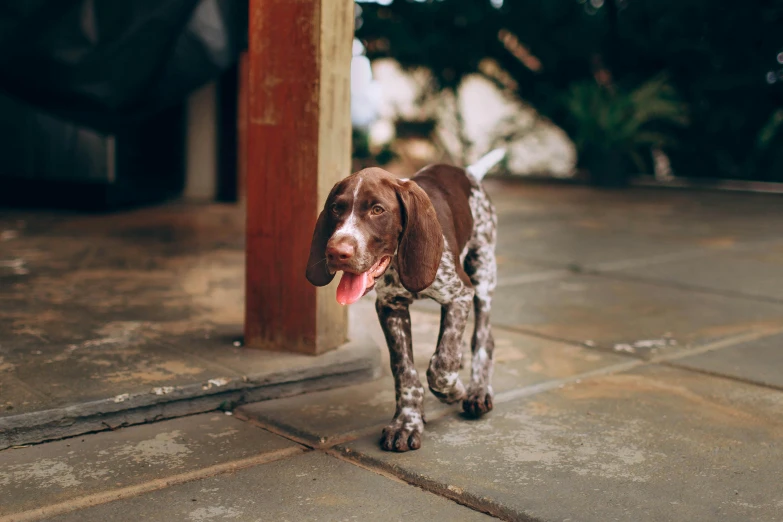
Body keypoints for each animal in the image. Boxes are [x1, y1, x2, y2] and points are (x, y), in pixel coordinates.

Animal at [304, 148, 506, 448]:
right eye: (336, 208)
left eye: (377, 210)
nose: (336, 252)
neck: (399, 262)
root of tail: (468, 172)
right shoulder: (391, 307)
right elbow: (404, 370)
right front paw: (406, 422)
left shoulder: (460, 294)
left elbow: (441, 365)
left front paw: (453, 390)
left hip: (483, 270)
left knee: (483, 337)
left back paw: (477, 390)